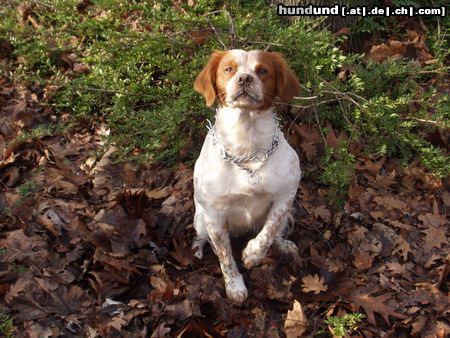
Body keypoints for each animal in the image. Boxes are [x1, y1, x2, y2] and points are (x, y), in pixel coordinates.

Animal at [192, 49, 300, 304]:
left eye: (263, 70)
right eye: (228, 69)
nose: (244, 79)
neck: (247, 146)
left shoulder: (289, 188)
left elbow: (269, 229)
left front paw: (253, 253)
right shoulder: (213, 215)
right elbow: (225, 258)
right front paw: (235, 287)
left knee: (278, 229)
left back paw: (284, 246)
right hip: (200, 220)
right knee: (206, 239)